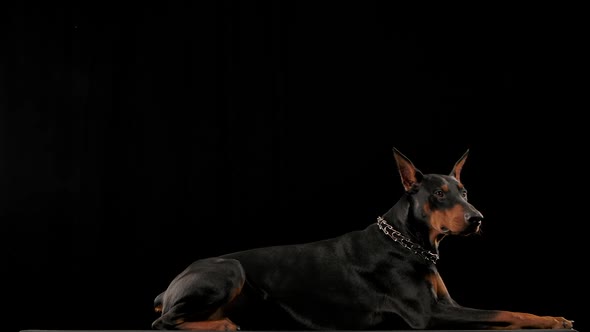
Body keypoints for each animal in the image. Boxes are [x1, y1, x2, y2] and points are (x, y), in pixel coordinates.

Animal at [153, 149, 580, 330]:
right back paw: (222, 326)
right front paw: (552, 320)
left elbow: (502, 314)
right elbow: (504, 311)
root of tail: (170, 285)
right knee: (164, 322)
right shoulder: (428, 316)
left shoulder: (449, 304)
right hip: (231, 269)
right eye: (439, 193)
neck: (407, 242)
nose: (477, 220)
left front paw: (549, 317)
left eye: (464, 190)